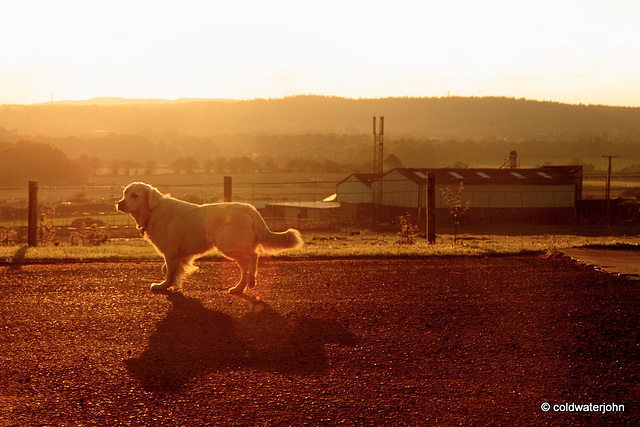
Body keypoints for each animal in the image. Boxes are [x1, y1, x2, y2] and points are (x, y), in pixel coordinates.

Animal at [117, 182, 302, 296]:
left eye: (135, 195)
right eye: (125, 193)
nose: (120, 204)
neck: (153, 210)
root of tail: (250, 209)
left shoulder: (170, 252)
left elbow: (169, 271)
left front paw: (163, 286)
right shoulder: (180, 254)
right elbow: (171, 269)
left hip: (227, 245)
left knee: (254, 256)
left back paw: (251, 281)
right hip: (232, 248)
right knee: (246, 266)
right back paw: (239, 288)